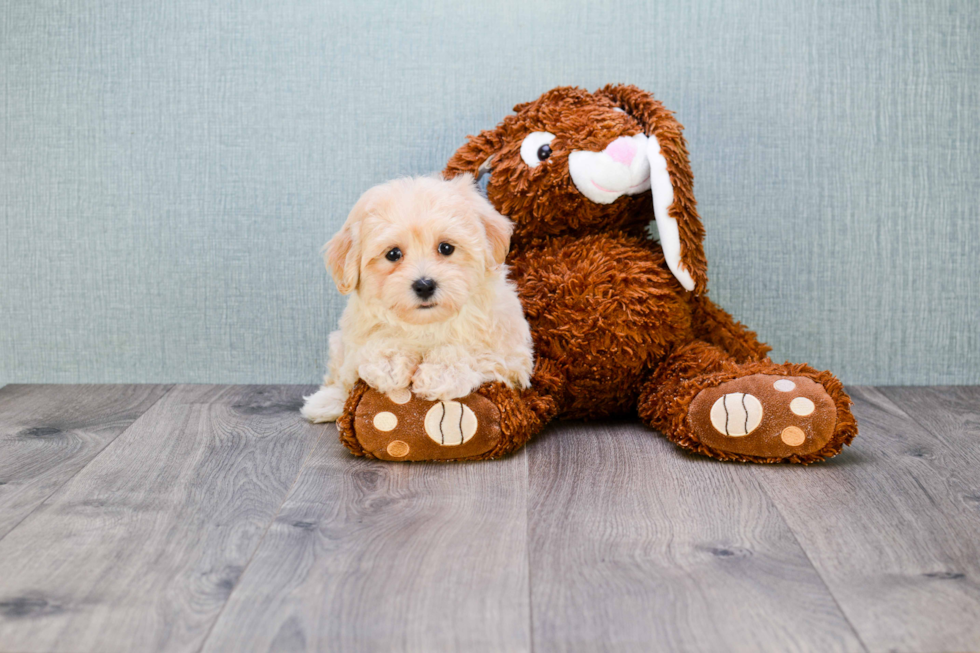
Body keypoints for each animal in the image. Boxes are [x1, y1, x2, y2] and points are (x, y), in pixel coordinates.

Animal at [304, 173, 536, 422]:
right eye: (393, 254)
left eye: (446, 248)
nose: (424, 286)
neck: (427, 323)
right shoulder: (355, 342)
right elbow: (373, 347)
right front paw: (389, 362)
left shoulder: (511, 356)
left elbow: (471, 350)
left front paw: (440, 373)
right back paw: (325, 402)